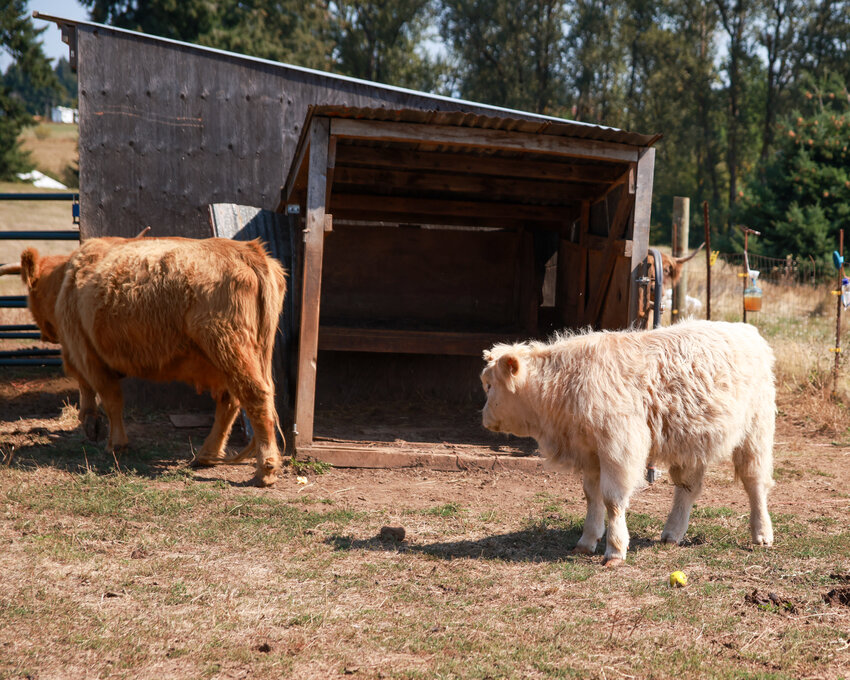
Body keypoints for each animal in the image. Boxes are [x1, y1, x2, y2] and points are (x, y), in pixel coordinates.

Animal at [480, 322, 772, 564]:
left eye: (489, 385)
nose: (483, 417)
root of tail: (745, 329)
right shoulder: (590, 454)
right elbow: (592, 496)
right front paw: (587, 541)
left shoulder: (618, 448)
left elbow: (612, 500)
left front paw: (615, 550)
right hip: (691, 442)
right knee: (688, 488)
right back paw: (672, 533)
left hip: (755, 433)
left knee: (754, 483)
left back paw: (762, 533)